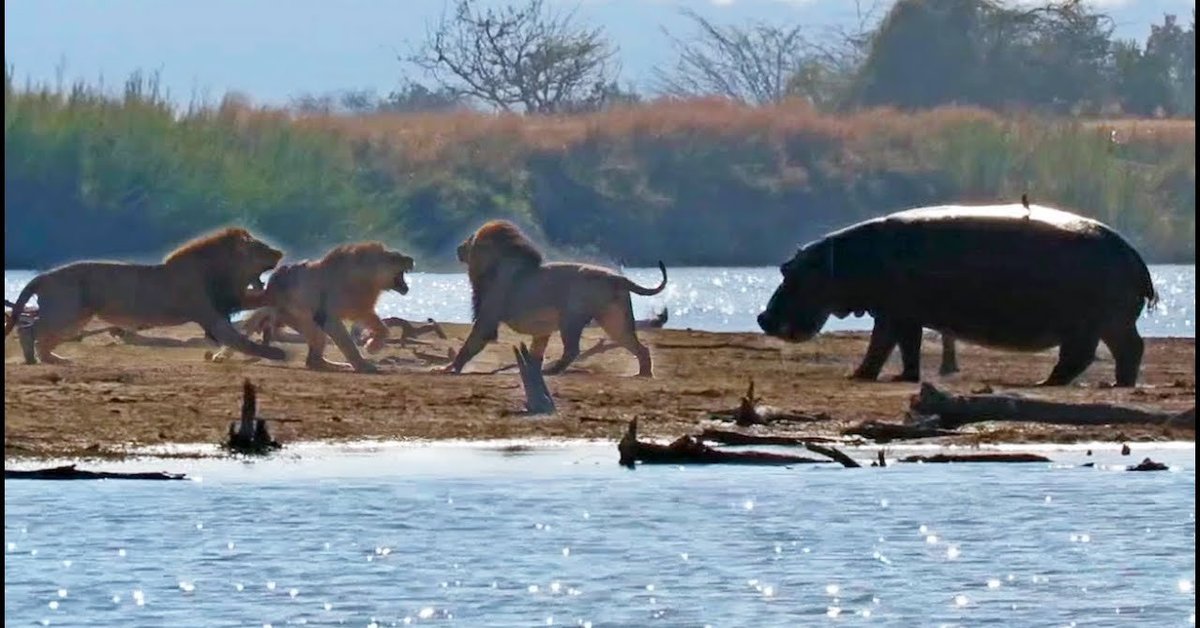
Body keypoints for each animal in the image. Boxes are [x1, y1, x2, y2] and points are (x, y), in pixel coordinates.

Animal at [5, 226, 285, 362]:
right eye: (263, 248)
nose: (280, 252)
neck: (223, 270)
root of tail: (43, 277)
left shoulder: (230, 299)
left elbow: (259, 299)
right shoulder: (209, 313)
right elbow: (238, 339)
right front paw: (278, 355)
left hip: (76, 319)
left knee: (43, 337)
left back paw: (55, 359)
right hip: (66, 312)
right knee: (29, 329)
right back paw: (31, 357)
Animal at [216, 242, 417, 374]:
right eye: (394, 257)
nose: (411, 259)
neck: (369, 281)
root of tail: (271, 289)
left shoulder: (362, 309)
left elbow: (383, 328)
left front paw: (372, 345)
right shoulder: (329, 317)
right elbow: (347, 343)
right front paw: (364, 364)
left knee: (313, 360)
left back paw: (338, 366)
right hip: (305, 321)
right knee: (312, 359)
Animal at [444, 220, 667, 379]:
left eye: (470, 240)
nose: (458, 248)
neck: (497, 264)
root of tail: (616, 277)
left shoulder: (487, 318)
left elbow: (471, 343)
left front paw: (449, 368)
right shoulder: (541, 331)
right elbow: (535, 352)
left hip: (571, 318)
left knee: (572, 350)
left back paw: (552, 370)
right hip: (615, 320)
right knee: (640, 348)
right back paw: (644, 373)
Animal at [753, 202, 1156, 389]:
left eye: (788, 271)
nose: (762, 317)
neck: (843, 260)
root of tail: (1137, 257)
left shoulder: (894, 311)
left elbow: (882, 344)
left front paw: (859, 375)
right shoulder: (901, 312)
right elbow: (903, 346)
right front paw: (901, 377)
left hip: (1090, 322)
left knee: (1086, 354)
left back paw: (1052, 383)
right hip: (1106, 322)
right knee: (1125, 350)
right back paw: (1117, 383)